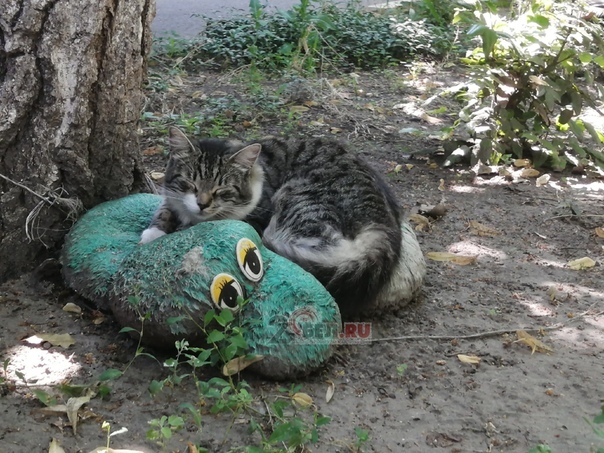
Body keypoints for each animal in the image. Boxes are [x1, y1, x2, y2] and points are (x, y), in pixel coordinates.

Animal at [140, 126, 402, 314]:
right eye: (190, 184)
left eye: (221, 190)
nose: (202, 204)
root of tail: (382, 229)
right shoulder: (173, 199)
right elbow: (165, 209)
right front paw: (153, 234)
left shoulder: (257, 215)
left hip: (298, 200)